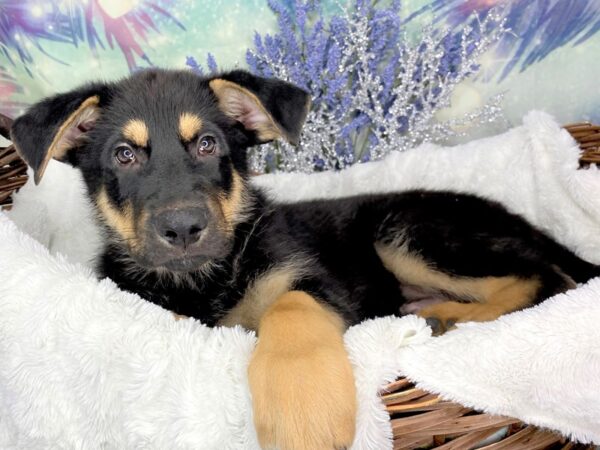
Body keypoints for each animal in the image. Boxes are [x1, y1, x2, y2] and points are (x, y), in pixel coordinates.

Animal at [10, 67, 600, 450]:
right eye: (123, 155)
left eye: (207, 145)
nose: (183, 229)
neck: (205, 277)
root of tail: (524, 221)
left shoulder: (316, 277)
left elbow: (290, 309)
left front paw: (303, 414)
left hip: (408, 232)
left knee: (543, 281)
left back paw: (445, 320)